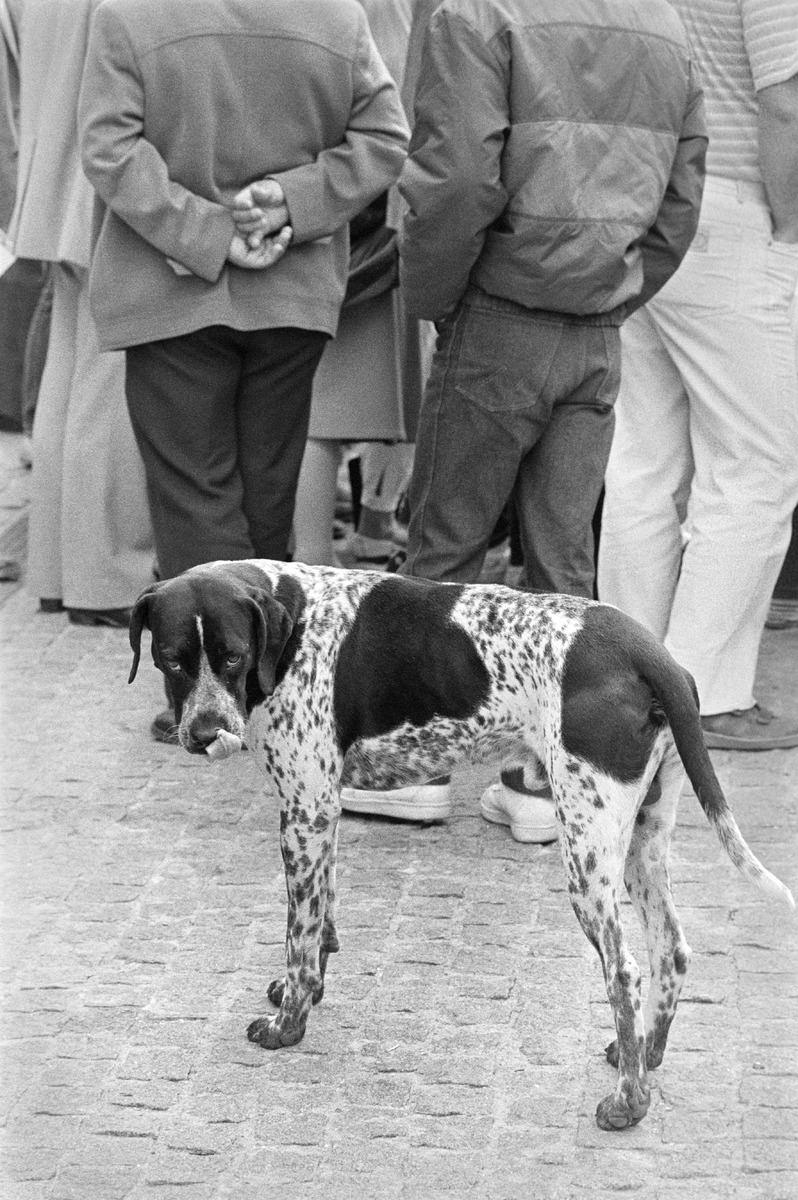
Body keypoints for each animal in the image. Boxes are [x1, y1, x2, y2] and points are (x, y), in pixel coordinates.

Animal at [127, 556, 792, 1128]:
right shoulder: (318, 813)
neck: (292, 626)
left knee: (623, 971)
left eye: (233, 657)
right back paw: (647, 1058)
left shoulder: (306, 808)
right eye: (172, 660)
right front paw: (306, 988)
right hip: (640, 842)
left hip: (587, 854)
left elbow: (300, 931)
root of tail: (655, 655)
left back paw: (630, 1102)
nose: (206, 732)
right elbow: (319, 917)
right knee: (671, 949)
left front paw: (288, 1022)